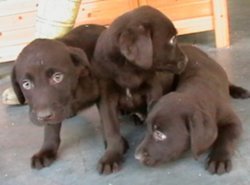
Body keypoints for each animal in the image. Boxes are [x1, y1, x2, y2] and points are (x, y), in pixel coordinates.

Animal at [137, 44, 250, 174]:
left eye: (159, 134)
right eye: (147, 129)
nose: (137, 156)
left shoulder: (232, 121)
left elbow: (226, 137)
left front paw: (218, 159)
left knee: (229, 82)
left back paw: (240, 91)